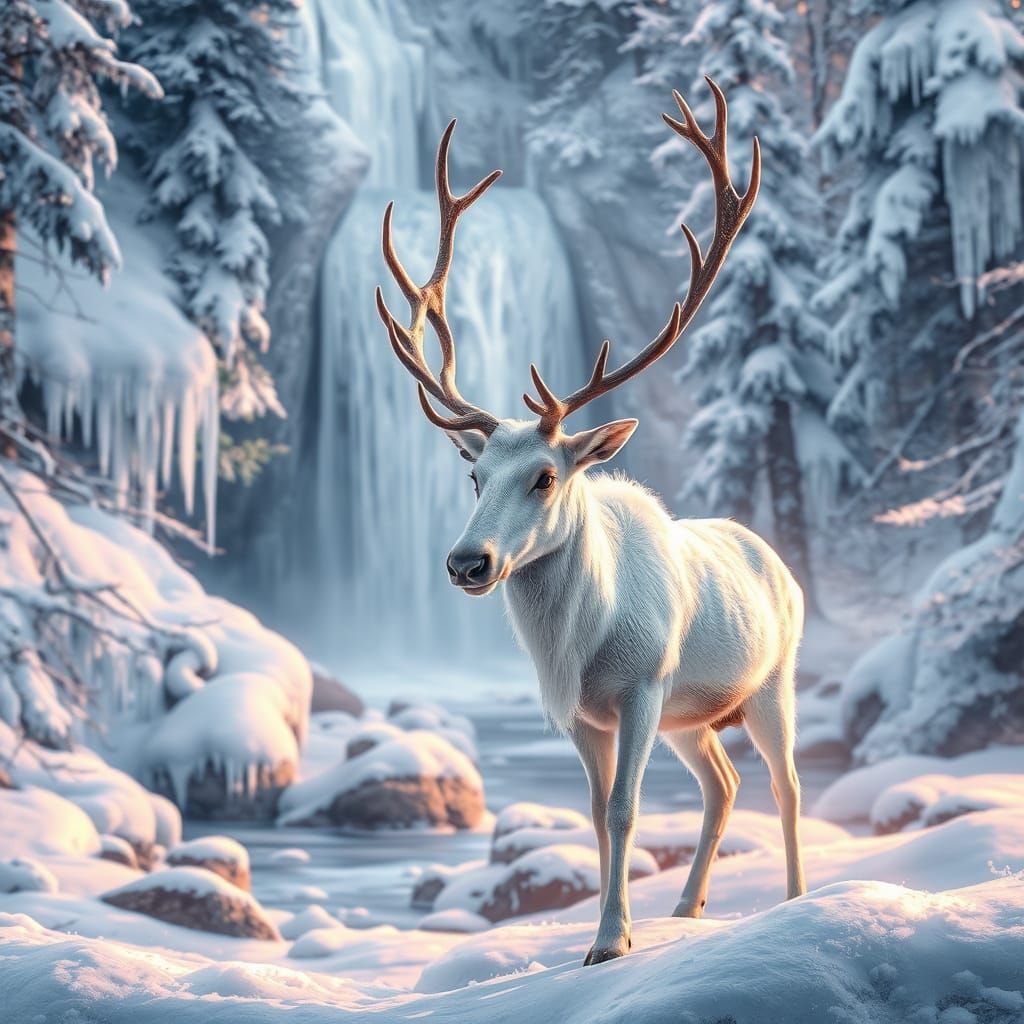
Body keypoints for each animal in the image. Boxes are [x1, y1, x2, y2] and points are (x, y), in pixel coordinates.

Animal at [375, 79, 806, 966]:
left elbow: (624, 811)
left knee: (785, 785)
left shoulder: (643, 685)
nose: (467, 563)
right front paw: (604, 937)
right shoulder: (581, 714)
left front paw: (611, 942)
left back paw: (792, 900)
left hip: (771, 681)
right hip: (693, 714)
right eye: (474, 474)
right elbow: (597, 822)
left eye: (545, 477)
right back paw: (688, 907)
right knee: (725, 782)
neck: (581, 643)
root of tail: (777, 559)